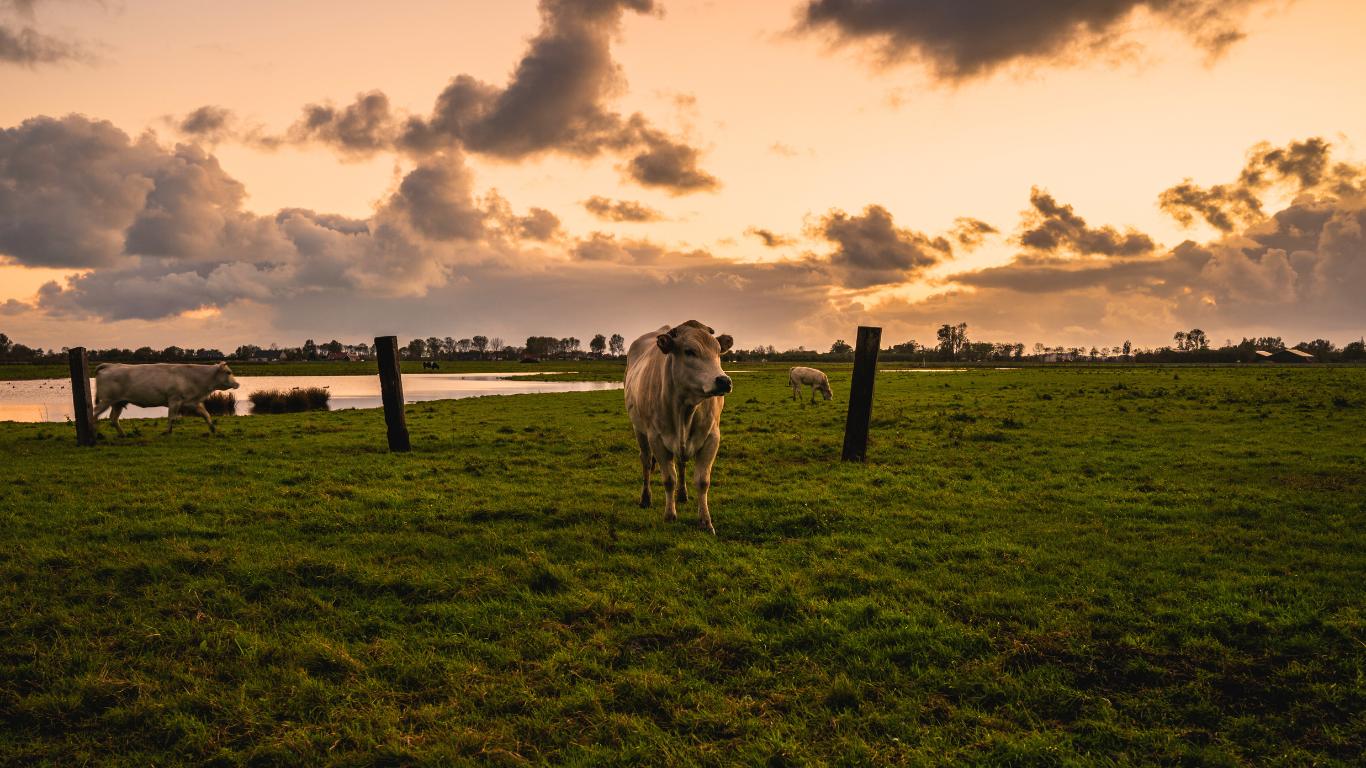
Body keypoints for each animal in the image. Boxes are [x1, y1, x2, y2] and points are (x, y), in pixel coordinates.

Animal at [92, 362, 241, 435]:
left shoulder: (192, 402)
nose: (238, 384)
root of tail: (110, 365)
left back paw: (123, 434)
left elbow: (206, 414)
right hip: (106, 400)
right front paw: (167, 431)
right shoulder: (174, 400)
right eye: (228, 372)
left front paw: (213, 429)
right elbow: (171, 417)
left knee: (113, 419)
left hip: (118, 402)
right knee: (94, 414)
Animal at [625, 320, 733, 534]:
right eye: (689, 351)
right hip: (639, 430)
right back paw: (646, 498)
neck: (685, 409)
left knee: (681, 463)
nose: (724, 381)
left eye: (718, 352)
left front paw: (705, 522)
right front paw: (669, 515)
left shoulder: (712, 438)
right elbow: (669, 479)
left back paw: (682, 495)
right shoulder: (656, 439)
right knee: (646, 462)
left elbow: (702, 481)